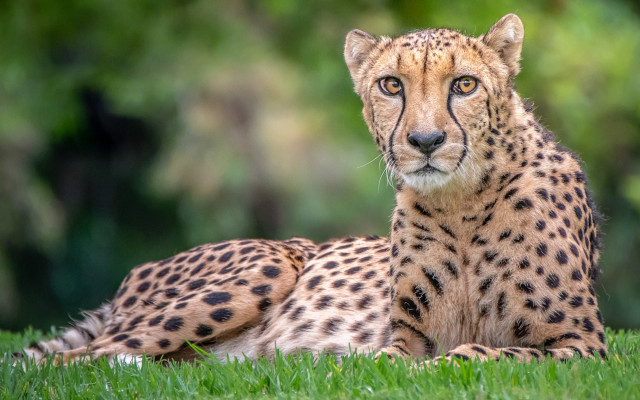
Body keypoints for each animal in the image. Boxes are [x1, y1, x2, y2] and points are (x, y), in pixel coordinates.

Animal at [16, 13, 605, 366]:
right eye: (391, 85)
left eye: (464, 84)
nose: (425, 141)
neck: (461, 201)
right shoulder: (406, 337)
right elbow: (399, 360)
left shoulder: (585, 345)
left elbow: (490, 353)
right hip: (270, 262)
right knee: (70, 362)